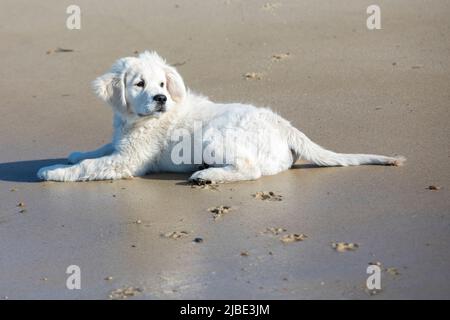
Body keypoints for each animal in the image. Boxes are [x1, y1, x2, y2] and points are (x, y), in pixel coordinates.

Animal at [37, 52, 404, 182]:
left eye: (161, 84)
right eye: (139, 84)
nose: (160, 99)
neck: (136, 120)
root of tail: (283, 125)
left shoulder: (129, 160)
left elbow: (91, 166)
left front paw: (53, 171)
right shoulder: (122, 143)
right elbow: (100, 149)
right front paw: (75, 154)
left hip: (213, 138)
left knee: (250, 169)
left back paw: (208, 175)